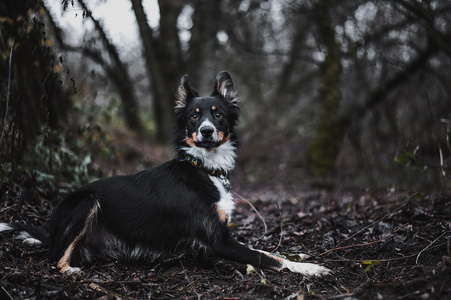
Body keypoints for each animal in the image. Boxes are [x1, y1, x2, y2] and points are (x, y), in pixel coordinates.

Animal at [0, 70, 332, 276]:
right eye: (195, 116)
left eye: (218, 114)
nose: (207, 131)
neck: (204, 168)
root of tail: (51, 227)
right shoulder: (216, 243)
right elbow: (269, 258)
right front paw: (310, 269)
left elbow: (265, 249)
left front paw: (302, 256)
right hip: (87, 201)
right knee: (56, 259)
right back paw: (70, 270)